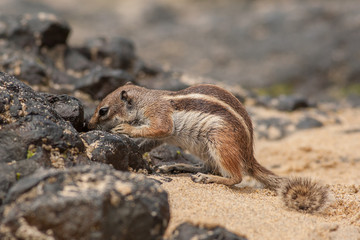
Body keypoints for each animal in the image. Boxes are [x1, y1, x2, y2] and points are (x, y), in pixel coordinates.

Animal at [89, 82, 330, 212]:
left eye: (103, 110)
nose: (89, 125)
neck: (144, 99)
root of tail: (249, 154)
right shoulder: (161, 136)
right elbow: (150, 140)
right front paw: (138, 150)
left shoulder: (159, 116)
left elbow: (158, 129)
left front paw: (125, 129)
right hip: (204, 148)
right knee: (209, 166)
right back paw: (177, 167)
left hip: (220, 142)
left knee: (235, 177)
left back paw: (208, 178)